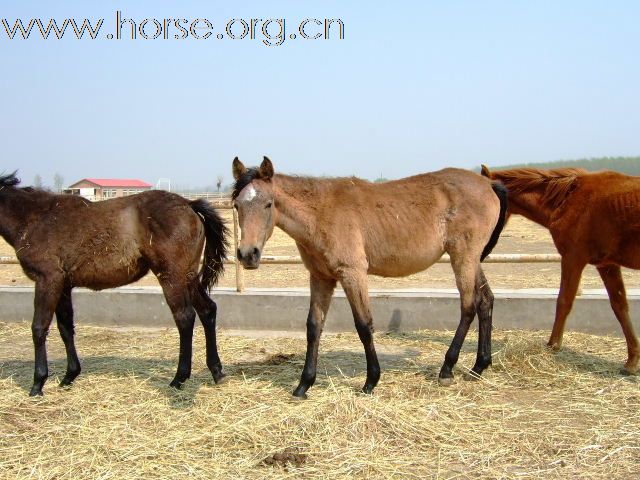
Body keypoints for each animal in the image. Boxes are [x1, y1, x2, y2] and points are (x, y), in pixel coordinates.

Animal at [0, 172, 229, 394]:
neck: (34, 218)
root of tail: (189, 204)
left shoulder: (47, 280)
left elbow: (39, 328)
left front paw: (37, 384)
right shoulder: (63, 285)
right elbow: (65, 327)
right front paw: (69, 376)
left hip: (171, 277)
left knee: (185, 317)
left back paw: (179, 379)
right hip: (188, 276)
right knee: (207, 310)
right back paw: (216, 371)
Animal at [232, 158, 508, 398]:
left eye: (268, 204)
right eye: (237, 205)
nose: (247, 254)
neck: (321, 212)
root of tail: (487, 183)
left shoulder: (353, 274)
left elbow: (364, 325)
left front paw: (371, 381)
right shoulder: (320, 278)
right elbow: (313, 327)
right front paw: (304, 385)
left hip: (463, 257)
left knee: (468, 306)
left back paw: (447, 369)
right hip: (472, 260)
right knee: (485, 301)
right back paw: (479, 366)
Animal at [482, 163, 640, 374]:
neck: (568, 199)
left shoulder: (572, 258)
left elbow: (564, 301)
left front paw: (553, 345)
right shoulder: (607, 265)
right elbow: (620, 306)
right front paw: (632, 361)